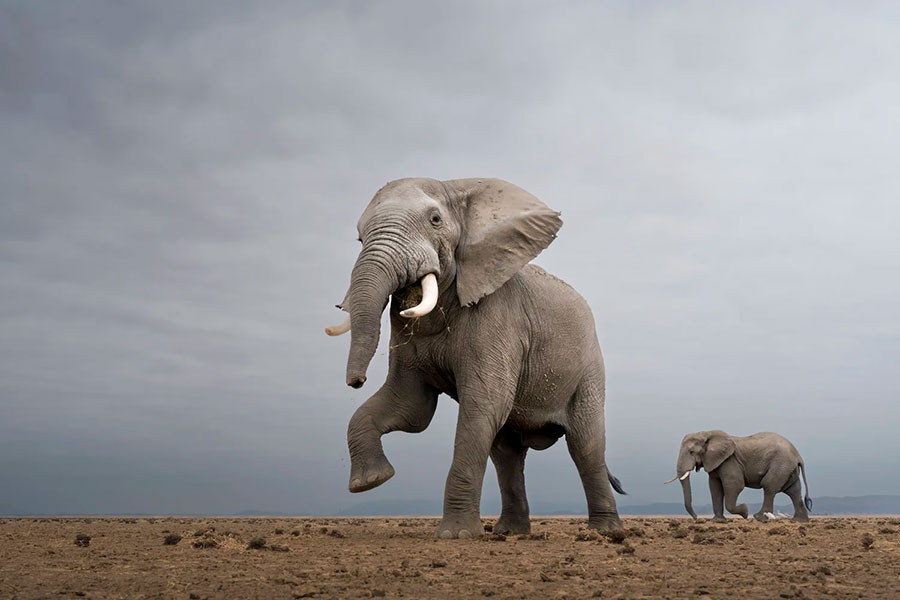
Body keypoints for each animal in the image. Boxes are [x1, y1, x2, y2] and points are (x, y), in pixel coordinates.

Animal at [325, 177, 625, 539]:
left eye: (435, 220)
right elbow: (412, 406)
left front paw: (455, 536)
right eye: (359, 238)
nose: (356, 382)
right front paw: (371, 481)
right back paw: (510, 533)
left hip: (589, 368)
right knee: (506, 453)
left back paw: (606, 533)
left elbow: (482, 403)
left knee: (585, 445)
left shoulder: (498, 317)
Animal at [666, 430, 812, 522]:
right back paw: (799, 521)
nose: (696, 518)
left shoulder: (730, 461)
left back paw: (759, 518)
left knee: (769, 486)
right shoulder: (715, 462)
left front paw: (745, 512)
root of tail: (798, 456)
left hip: (781, 464)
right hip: (788, 468)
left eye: (691, 452)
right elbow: (714, 487)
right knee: (793, 491)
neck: (707, 434)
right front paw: (718, 521)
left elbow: (734, 485)